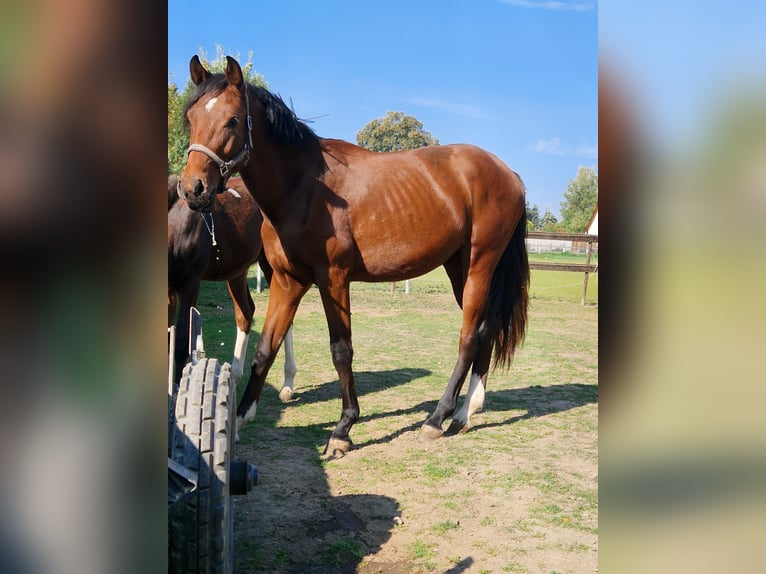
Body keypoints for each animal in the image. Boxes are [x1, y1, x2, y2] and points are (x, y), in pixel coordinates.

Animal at [168, 173, 297, 400]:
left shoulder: (190, 283)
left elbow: (181, 340)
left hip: (272, 266)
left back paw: (287, 384)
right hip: (237, 271)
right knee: (245, 312)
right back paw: (234, 378)